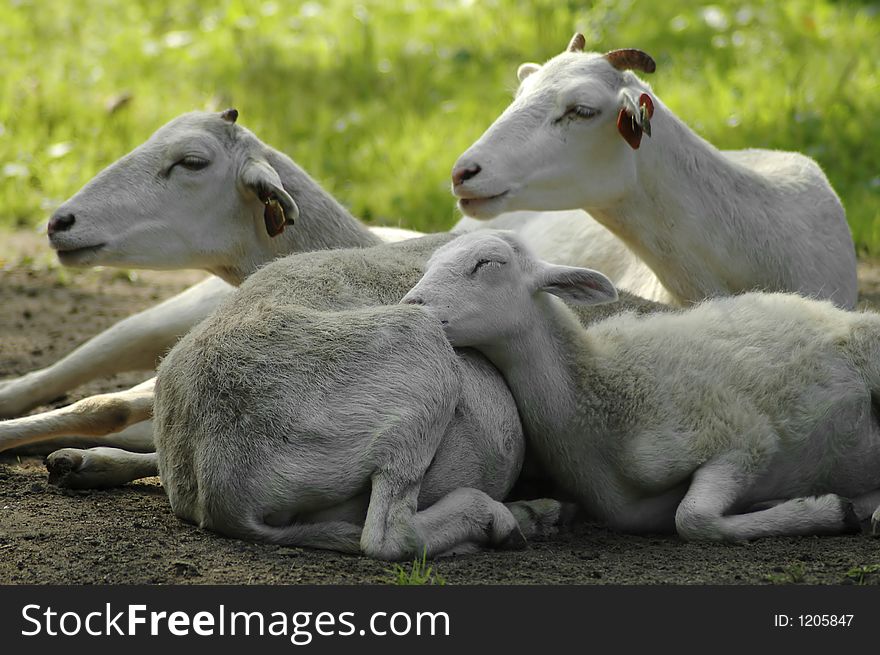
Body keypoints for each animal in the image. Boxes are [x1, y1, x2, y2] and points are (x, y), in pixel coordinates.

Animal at [404, 233, 880, 540]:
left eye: (488, 263)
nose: (410, 305)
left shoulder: (742, 439)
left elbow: (692, 519)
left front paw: (828, 511)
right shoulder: (633, 512)